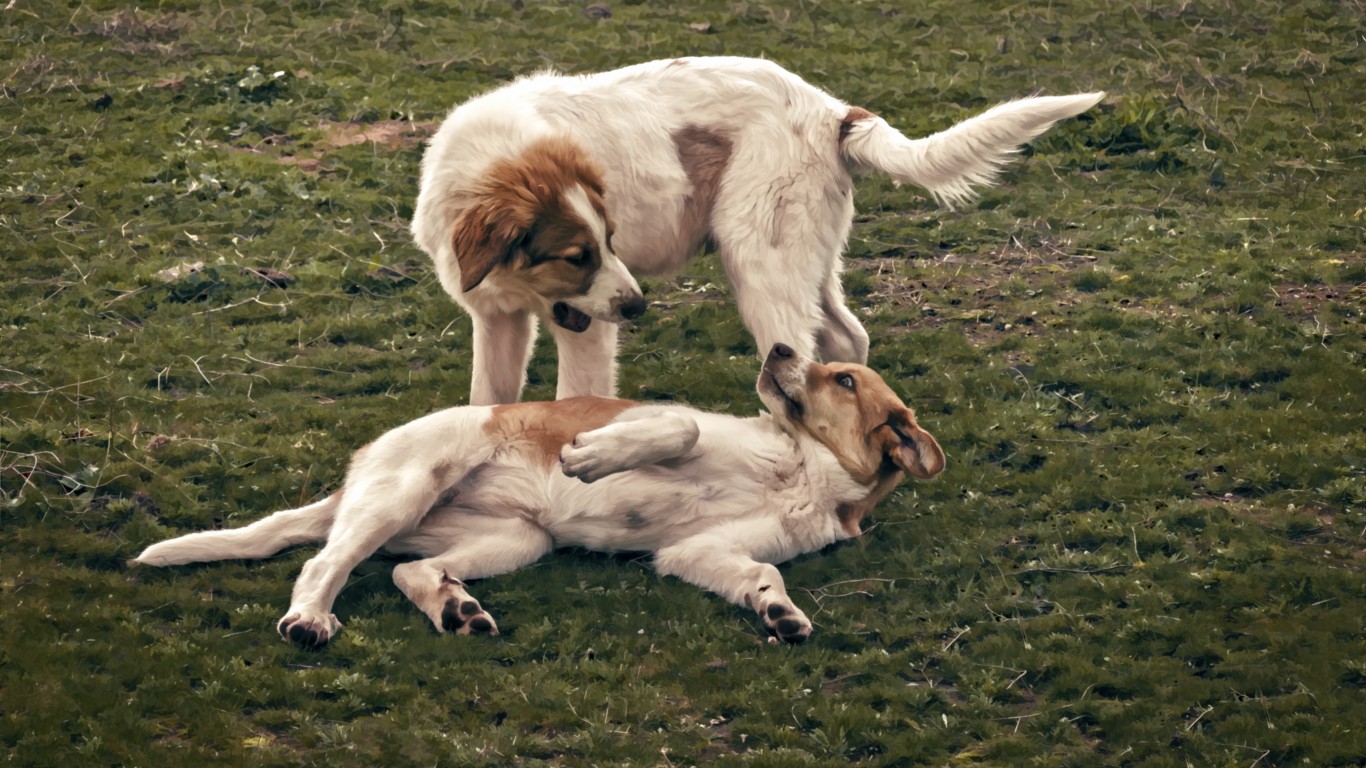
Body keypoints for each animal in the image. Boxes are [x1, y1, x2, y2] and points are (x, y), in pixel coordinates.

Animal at [141, 344, 950, 642]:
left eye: (842, 378)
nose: (779, 346)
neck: (800, 468)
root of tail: (351, 483)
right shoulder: (663, 419)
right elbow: (679, 426)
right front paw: (590, 458)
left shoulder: (699, 552)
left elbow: (761, 574)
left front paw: (777, 612)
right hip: (407, 488)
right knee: (322, 564)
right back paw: (311, 618)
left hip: (516, 539)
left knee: (410, 570)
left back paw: (455, 609)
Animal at [409, 56, 1103, 404]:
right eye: (576, 254)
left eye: (605, 242)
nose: (637, 308)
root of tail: (830, 109)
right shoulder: (496, 319)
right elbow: (486, 406)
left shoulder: (585, 329)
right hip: (804, 264)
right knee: (845, 343)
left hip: (760, 268)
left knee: (797, 371)